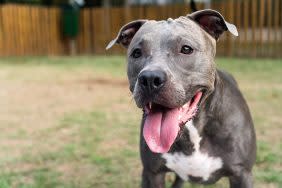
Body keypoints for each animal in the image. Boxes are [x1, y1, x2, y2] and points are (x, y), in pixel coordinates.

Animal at [106, 9, 256, 188]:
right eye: (136, 53)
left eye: (186, 49)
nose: (149, 79)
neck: (192, 131)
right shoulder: (153, 173)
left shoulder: (242, 174)